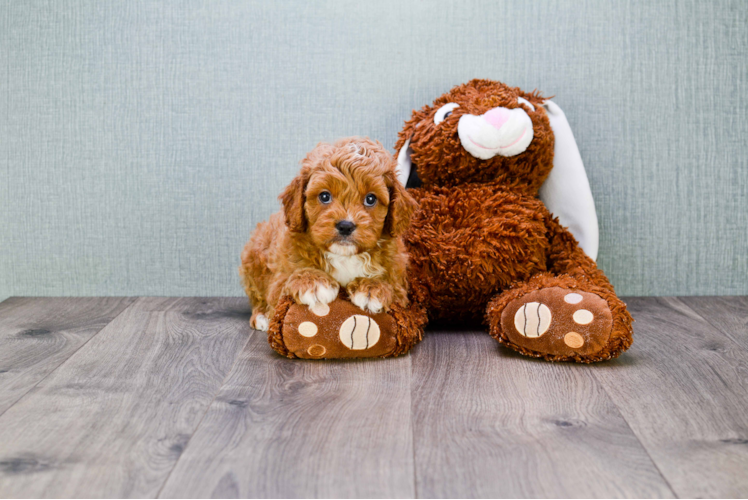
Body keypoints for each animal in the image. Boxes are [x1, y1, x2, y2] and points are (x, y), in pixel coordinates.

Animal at [240, 137, 414, 332]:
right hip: (252, 260)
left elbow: (393, 288)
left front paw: (372, 288)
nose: (345, 226)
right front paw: (312, 282)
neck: (344, 256)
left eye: (371, 199)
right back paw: (260, 316)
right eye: (324, 196)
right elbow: (285, 285)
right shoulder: (278, 280)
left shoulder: (400, 286)